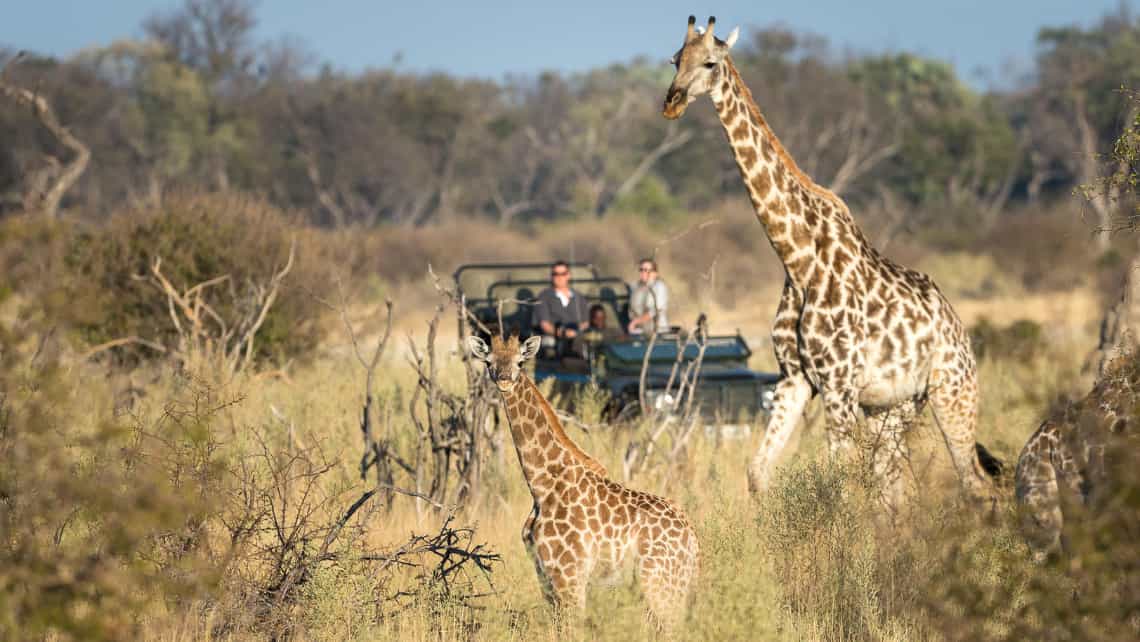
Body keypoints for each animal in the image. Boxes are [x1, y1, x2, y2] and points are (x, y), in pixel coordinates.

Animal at [465, 337, 697, 634]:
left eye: (520, 362)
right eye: (488, 362)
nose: (504, 380)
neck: (541, 484)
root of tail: (692, 537)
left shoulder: (569, 576)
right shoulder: (545, 576)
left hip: (662, 585)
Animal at [661, 16, 998, 513]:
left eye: (710, 62)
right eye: (674, 59)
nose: (673, 102)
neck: (796, 258)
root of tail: (959, 328)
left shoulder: (839, 386)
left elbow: (835, 487)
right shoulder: (795, 380)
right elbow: (758, 473)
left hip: (952, 390)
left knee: (977, 483)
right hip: (893, 407)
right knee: (900, 490)